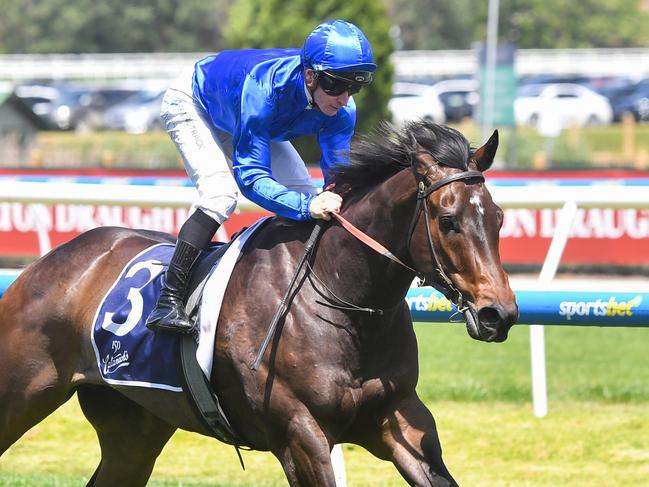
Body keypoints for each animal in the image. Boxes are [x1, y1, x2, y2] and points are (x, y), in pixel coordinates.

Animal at [0, 122, 516, 487]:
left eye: (498, 217)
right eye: (448, 220)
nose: (500, 313)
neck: (340, 297)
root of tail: (47, 263)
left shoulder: (399, 418)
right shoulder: (300, 435)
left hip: (133, 425)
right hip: (20, 393)